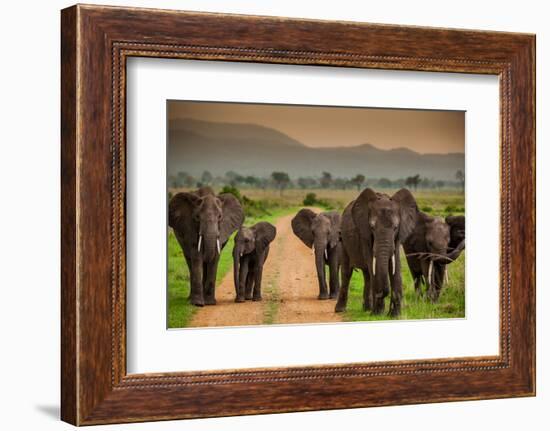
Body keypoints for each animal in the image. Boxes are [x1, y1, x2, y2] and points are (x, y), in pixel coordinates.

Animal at [334, 189, 420, 318]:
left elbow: (395, 266)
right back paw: (341, 310)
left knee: (367, 275)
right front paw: (378, 314)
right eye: (372, 227)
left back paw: (367, 309)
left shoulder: (398, 237)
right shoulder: (366, 236)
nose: (381, 293)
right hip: (343, 240)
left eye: (395, 227)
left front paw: (394, 316)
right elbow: (373, 265)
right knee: (347, 272)